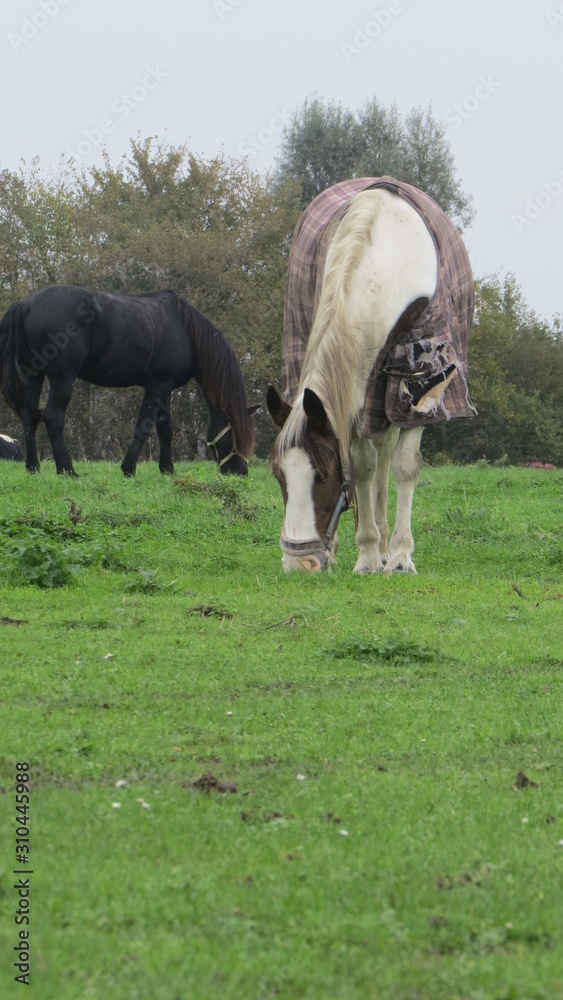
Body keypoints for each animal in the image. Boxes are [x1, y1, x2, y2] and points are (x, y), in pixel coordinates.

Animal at [0, 286, 256, 477]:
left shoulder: (165, 390)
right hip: (62, 379)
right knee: (52, 417)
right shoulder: (156, 387)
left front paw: (167, 469)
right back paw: (67, 470)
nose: (241, 472)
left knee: (29, 415)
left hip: (34, 376)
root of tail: (27, 304)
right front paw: (128, 469)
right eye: (236, 434)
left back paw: (33, 467)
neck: (184, 329)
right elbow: (143, 427)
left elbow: (166, 430)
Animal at [267, 177, 475, 574]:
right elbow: (362, 467)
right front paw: (366, 554)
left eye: (323, 473)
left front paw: (400, 555)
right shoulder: (356, 393)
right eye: (277, 474)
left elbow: (405, 467)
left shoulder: (418, 387)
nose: (300, 564)